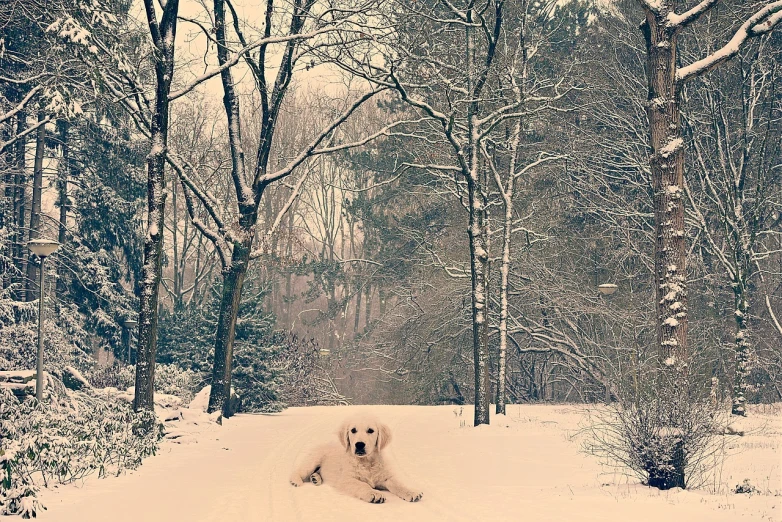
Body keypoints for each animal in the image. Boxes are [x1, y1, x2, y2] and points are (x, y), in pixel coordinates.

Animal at [290, 412, 426, 502]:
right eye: (353, 430)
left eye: (370, 430)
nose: (359, 444)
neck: (367, 462)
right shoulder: (346, 479)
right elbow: (362, 485)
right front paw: (374, 493)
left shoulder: (386, 478)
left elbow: (399, 484)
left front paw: (412, 491)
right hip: (313, 459)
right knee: (299, 470)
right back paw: (296, 480)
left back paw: (316, 478)